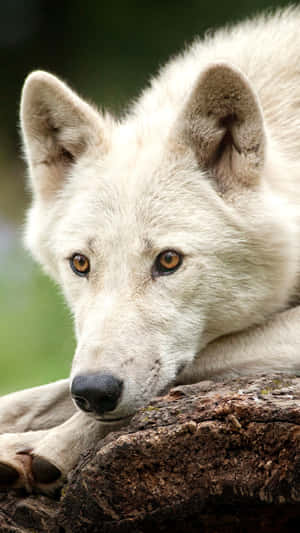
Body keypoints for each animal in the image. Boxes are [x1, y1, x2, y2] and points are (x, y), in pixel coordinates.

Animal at [0, 6, 300, 492]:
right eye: (80, 263)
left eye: (169, 260)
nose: (94, 391)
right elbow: (38, 394)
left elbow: (198, 361)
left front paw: (39, 446)